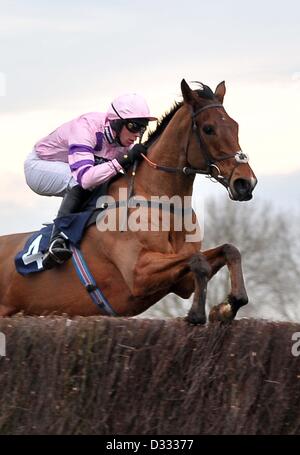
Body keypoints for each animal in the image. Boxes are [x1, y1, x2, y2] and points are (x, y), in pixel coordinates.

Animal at [0, 81, 258, 324]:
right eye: (208, 129)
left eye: (235, 126)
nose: (246, 183)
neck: (161, 202)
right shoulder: (138, 274)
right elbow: (198, 260)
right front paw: (196, 314)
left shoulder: (181, 283)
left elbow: (229, 250)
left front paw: (227, 307)